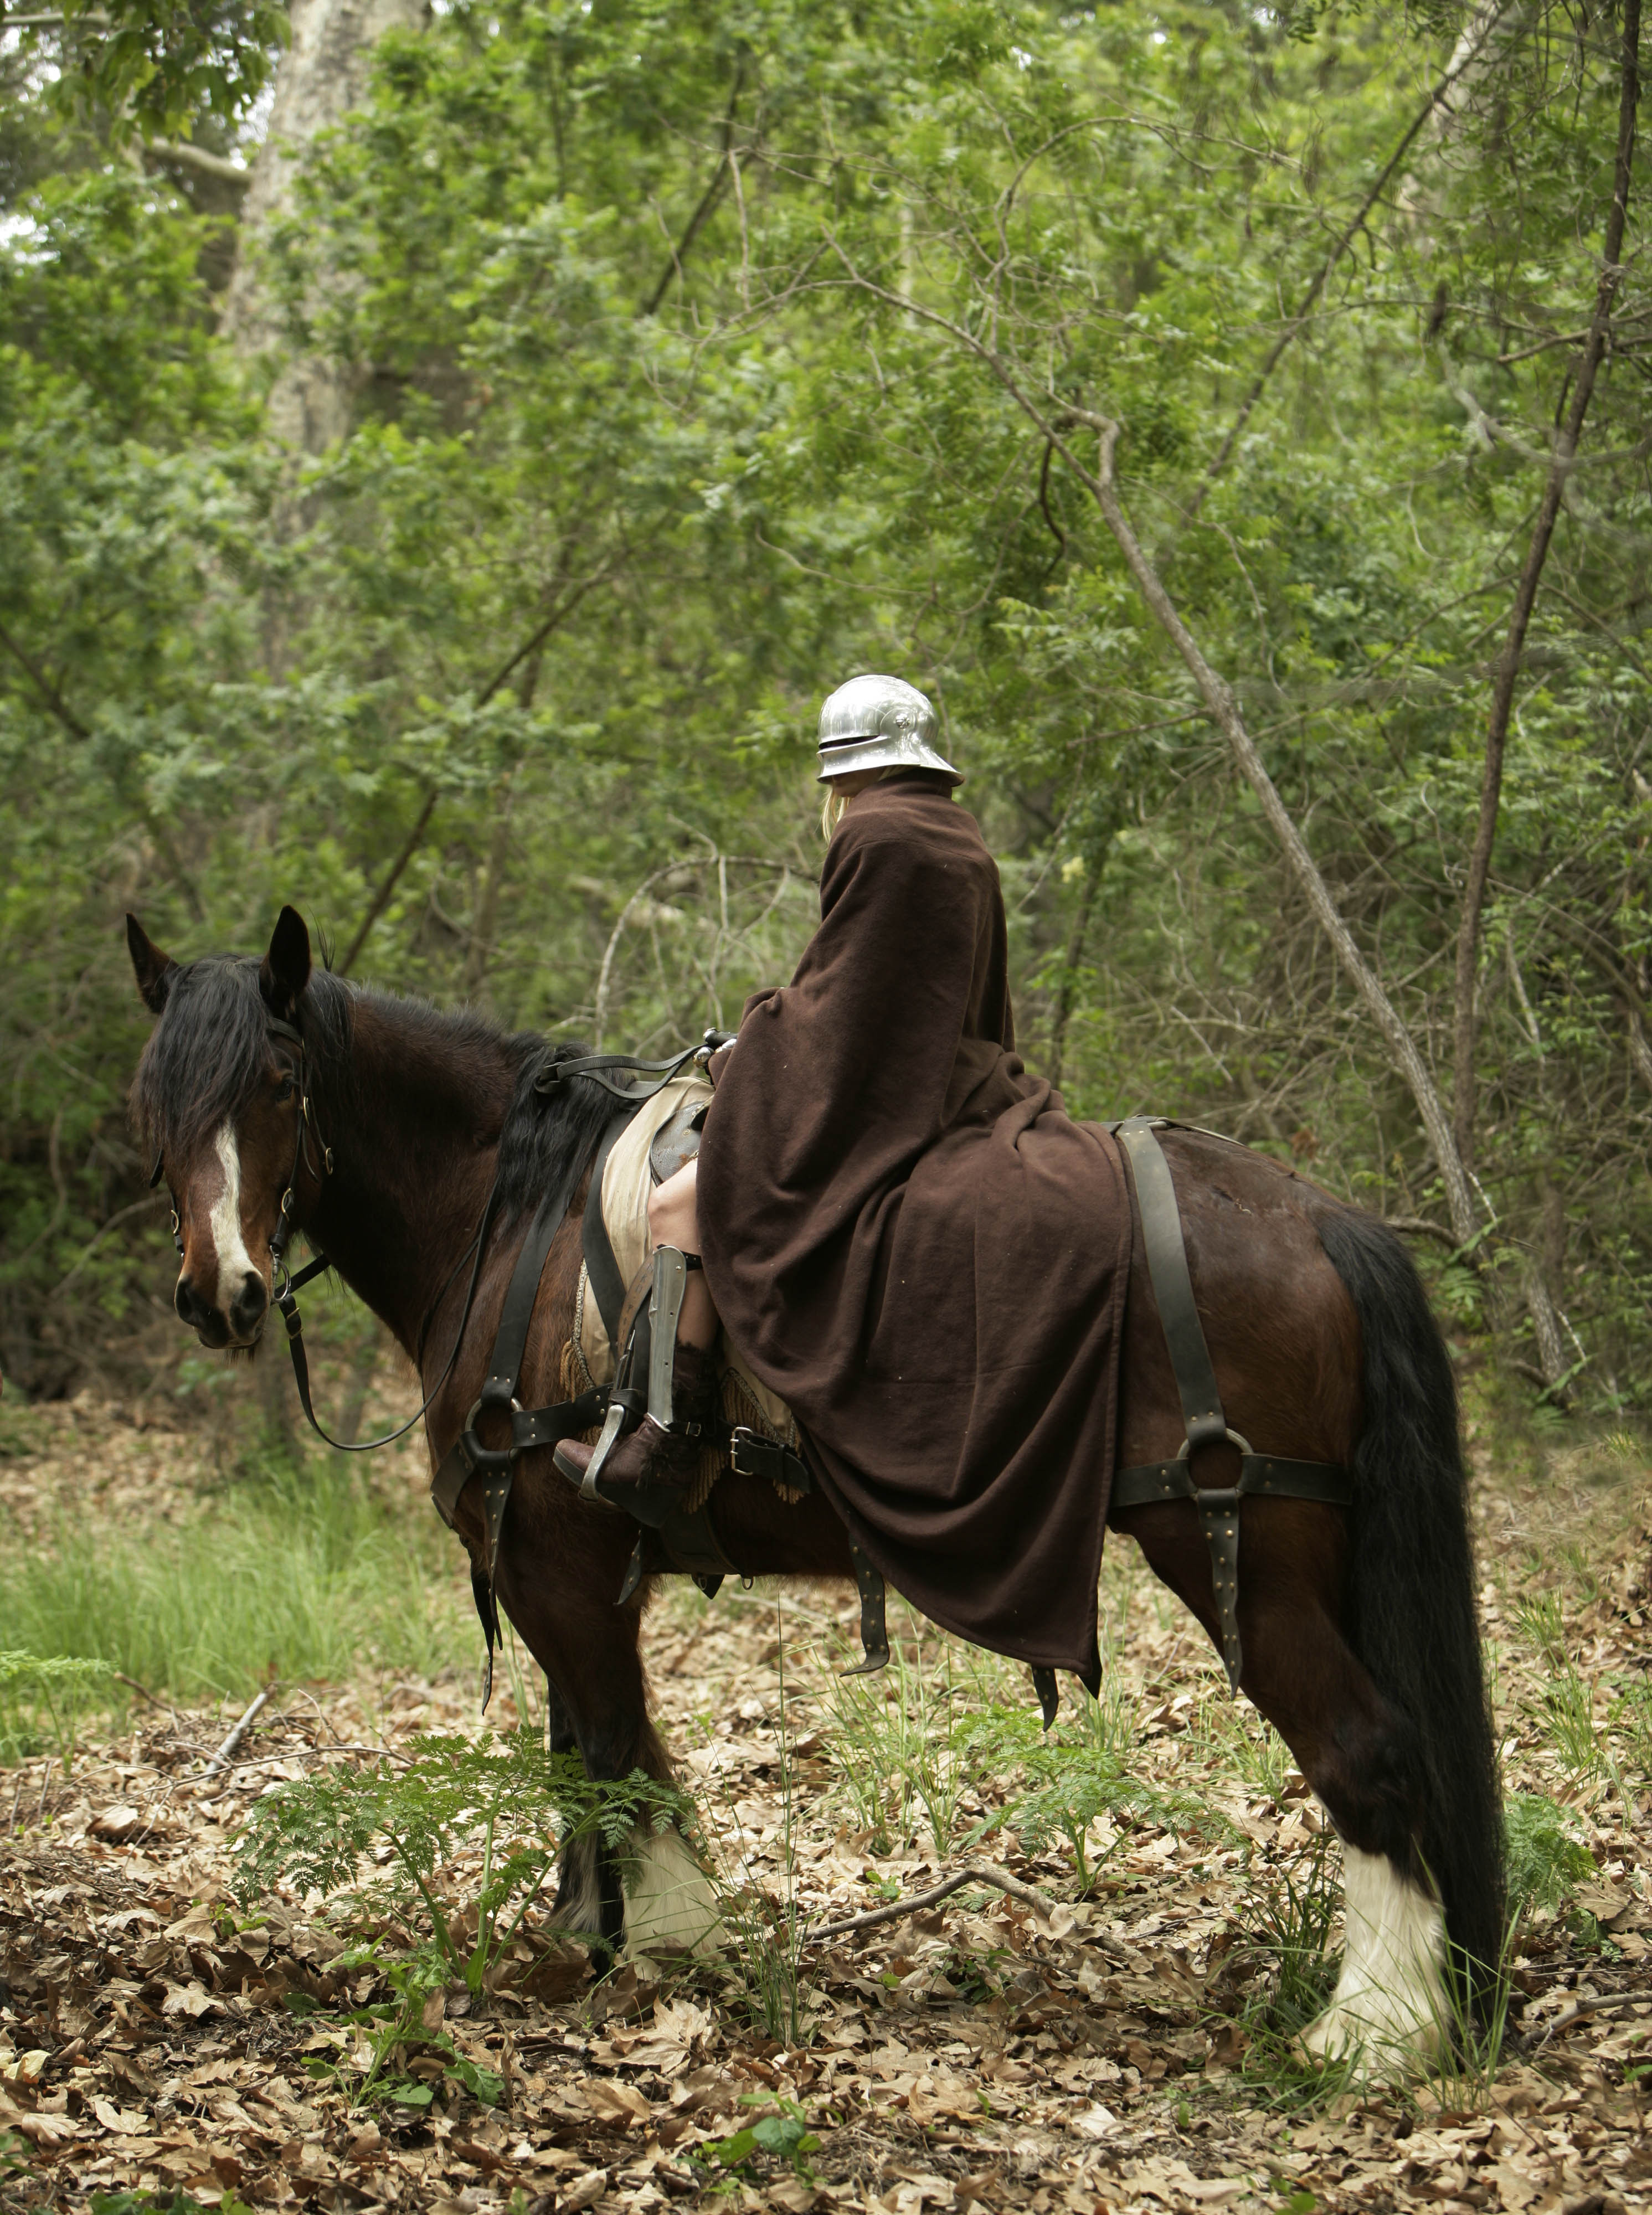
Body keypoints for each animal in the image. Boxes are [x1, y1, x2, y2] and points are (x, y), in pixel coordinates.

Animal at [125, 904, 1497, 2073]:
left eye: (280, 1082)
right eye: (155, 1101)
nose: (218, 1291)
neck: (513, 1221)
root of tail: (1312, 1217)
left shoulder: (557, 1569)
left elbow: (608, 1752)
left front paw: (636, 1954)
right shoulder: (566, 1574)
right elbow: (590, 1749)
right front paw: (606, 1930)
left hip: (1241, 1544)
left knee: (1366, 1751)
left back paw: (1371, 2033)